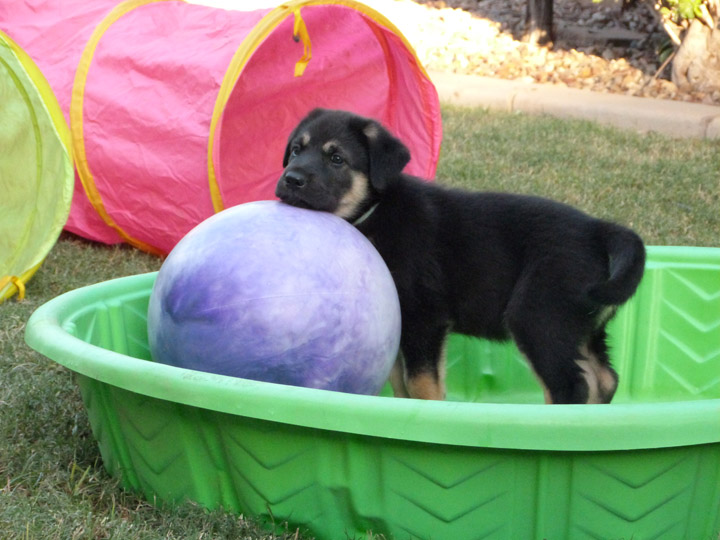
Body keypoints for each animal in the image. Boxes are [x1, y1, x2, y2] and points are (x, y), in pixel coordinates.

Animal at [272, 107, 644, 404]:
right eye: (296, 150)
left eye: (337, 159)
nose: (290, 179)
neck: (375, 212)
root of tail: (599, 230)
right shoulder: (398, 322)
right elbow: (398, 380)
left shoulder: (424, 316)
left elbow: (419, 383)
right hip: (580, 327)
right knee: (605, 379)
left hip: (539, 317)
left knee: (571, 386)